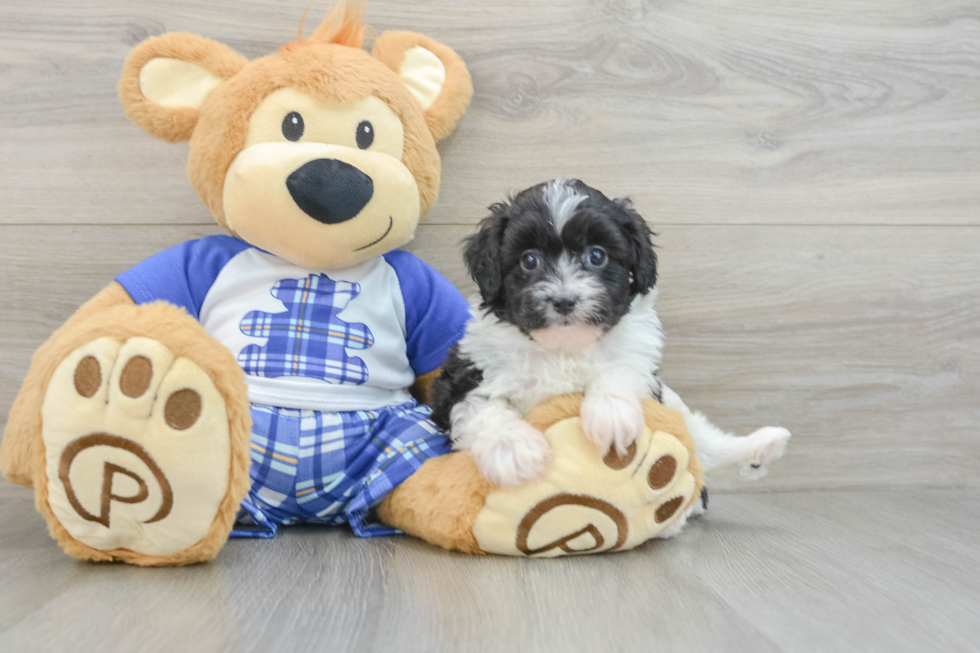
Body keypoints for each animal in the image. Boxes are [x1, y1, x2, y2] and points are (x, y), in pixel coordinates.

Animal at [432, 178, 792, 494]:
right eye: (529, 260)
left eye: (597, 255)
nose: (564, 301)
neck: (563, 349)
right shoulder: (467, 372)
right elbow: (480, 408)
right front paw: (514, 450)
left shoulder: (641, 360)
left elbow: (620, 368)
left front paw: (610, 415)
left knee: (703, 445)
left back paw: (759, 449)